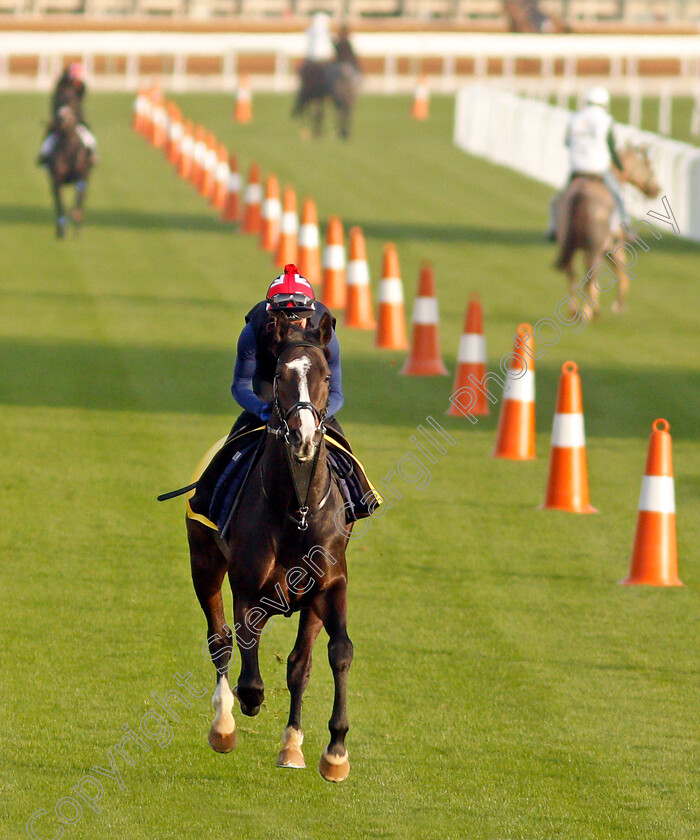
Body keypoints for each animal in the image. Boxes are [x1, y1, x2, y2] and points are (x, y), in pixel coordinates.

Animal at [43, 104, 93, 240]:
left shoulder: (81, 177)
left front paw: (76, 221)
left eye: (70, 114)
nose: (62, 117)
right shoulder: (56, 179)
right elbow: (60, 203)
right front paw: (61, 229)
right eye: (59, 115)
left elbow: (78, 198)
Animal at [187, 312, 356, 784]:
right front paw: (243, 707)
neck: (296, 509)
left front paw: (335, 751)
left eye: (325, 375)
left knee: (300, 662)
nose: (303, 436)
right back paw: (224, 724)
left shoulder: (329, 585)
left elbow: (335, 654)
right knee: (220, 640)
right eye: (280, 375)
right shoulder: (247, 585)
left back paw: (292, 744)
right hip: (204, 563)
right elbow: (247, 668)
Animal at [556, 144, 660, 318]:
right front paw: (619, 305)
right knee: (590, 272)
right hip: (596, 247)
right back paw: (586, 313)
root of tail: (581, 192)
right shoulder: (613, 248)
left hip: (570, 244)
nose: (656, 189)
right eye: (648, 166)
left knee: (573, 271)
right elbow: (622, 274)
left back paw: (575, 311)